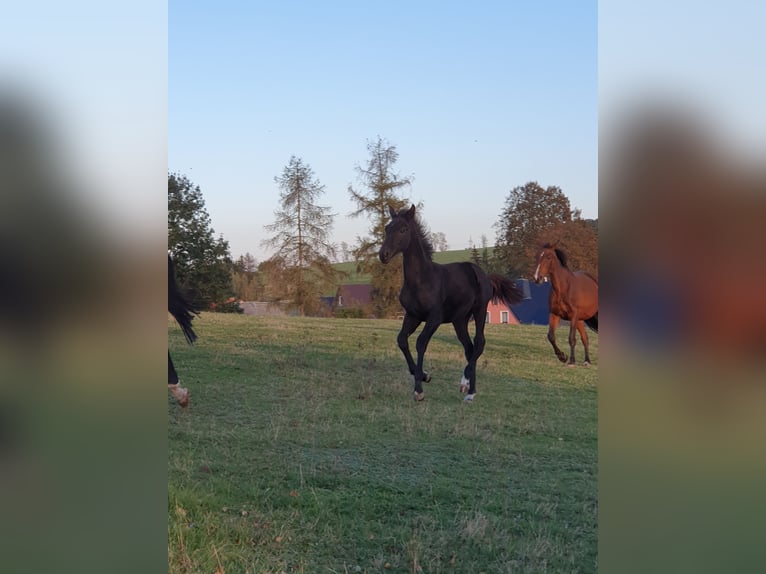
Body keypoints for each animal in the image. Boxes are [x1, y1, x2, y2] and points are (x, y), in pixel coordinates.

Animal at [380, 205, 524, 402]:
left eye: (403, 229)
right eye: (387, 228)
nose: (383, 255)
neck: (421, 280)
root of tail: (484, 275)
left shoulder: (434, 318)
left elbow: (420, 343)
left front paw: (419, 389)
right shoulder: (412, 315)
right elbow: (401, 340)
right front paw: (424, 375)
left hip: (480, 310)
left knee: (479, 343)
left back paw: (467, 387)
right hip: (460, 320)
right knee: (469, 347)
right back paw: (470, 388)